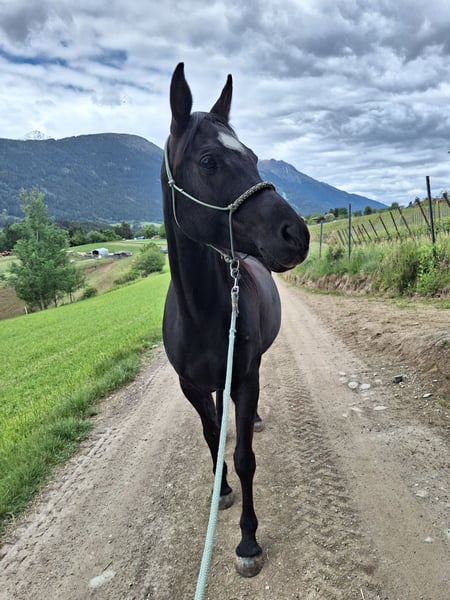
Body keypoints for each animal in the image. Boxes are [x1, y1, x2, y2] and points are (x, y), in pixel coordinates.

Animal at [161, 63, 310, 577]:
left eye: (253, 156)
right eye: (208, 161)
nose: (296, 234)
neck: (201, 313)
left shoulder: (243, 376)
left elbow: (245, 456)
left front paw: (248, 540)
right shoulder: (191, 386)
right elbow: (212, 438)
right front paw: (220, 488)